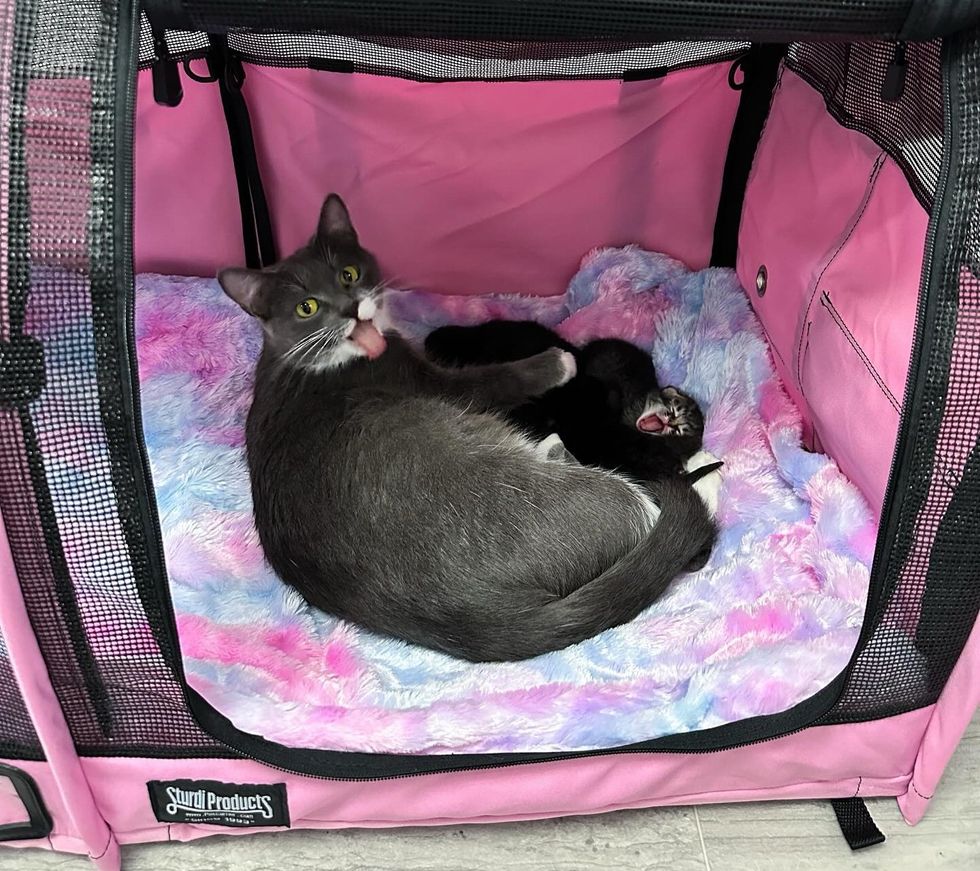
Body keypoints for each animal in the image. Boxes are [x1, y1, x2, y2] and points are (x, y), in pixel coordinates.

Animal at [218, 194, 716, 664]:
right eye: (307, 307)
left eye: (347, 274)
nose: (351, 310)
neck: (311, 359)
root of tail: (473, 619)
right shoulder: (418, 378)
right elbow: (486, 382)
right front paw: (559, 362)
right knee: (643, 507)